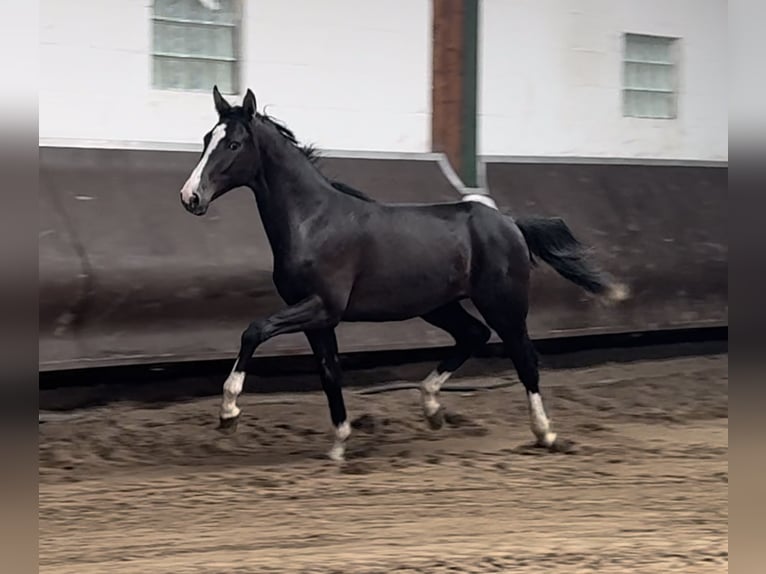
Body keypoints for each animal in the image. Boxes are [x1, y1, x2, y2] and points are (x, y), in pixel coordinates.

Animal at [180, 86, 632, 464]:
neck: (313, 220)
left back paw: (545, 434)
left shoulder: (321, 306)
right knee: (474, 334)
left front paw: (229, 413)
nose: (190, 197)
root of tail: (511, 223)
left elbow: (254, 330)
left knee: (525, 359)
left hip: (504, 304)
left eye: (233, 144)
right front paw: (339, 445)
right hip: (439, 305)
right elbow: (329, 373)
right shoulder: (319, 319)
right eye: (205, 139)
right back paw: (431, 407)